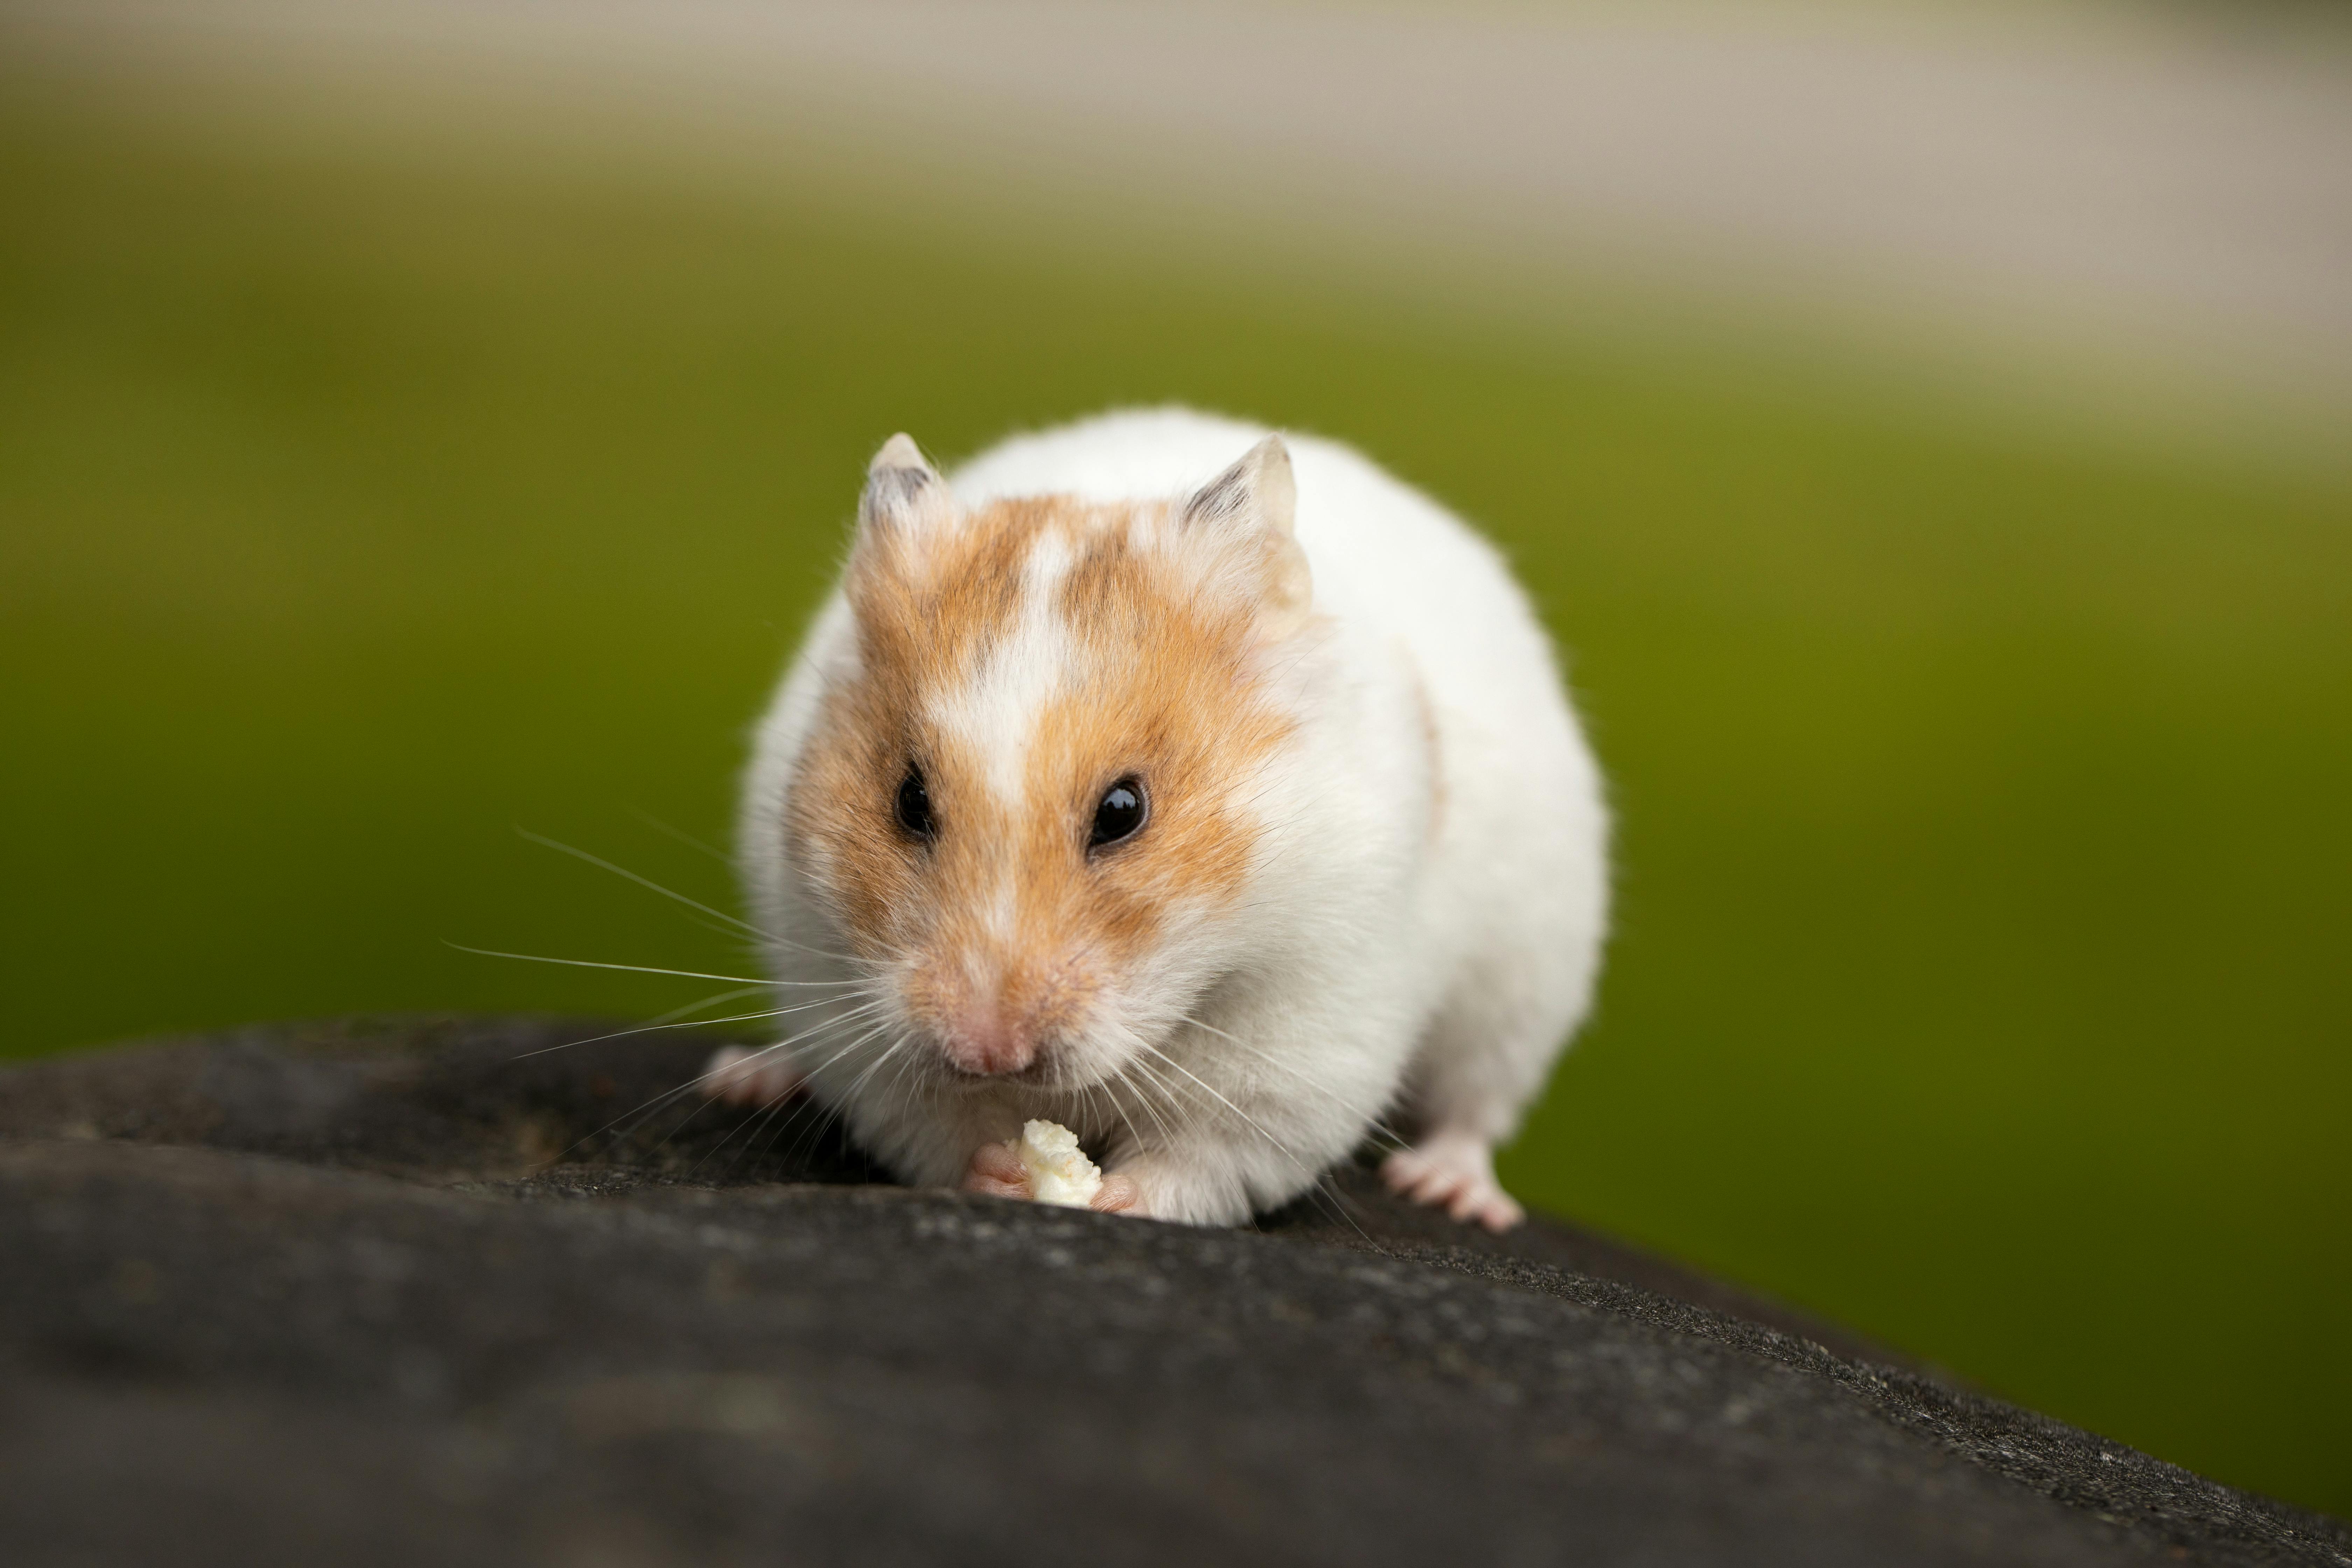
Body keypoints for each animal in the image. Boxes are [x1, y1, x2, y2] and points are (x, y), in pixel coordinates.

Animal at [705, 409, 1609, 1241]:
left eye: (1123, 811)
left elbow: (1207, 1156)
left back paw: (1450, 1190)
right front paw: (1005, 1172)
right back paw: (748, 1076)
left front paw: (1110, 1197)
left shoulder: (1303, 1039)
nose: (990, 1052)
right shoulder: (848, 1001)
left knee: (1476, 1106)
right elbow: (934, 1127)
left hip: (1525, 984)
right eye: (908, 801)